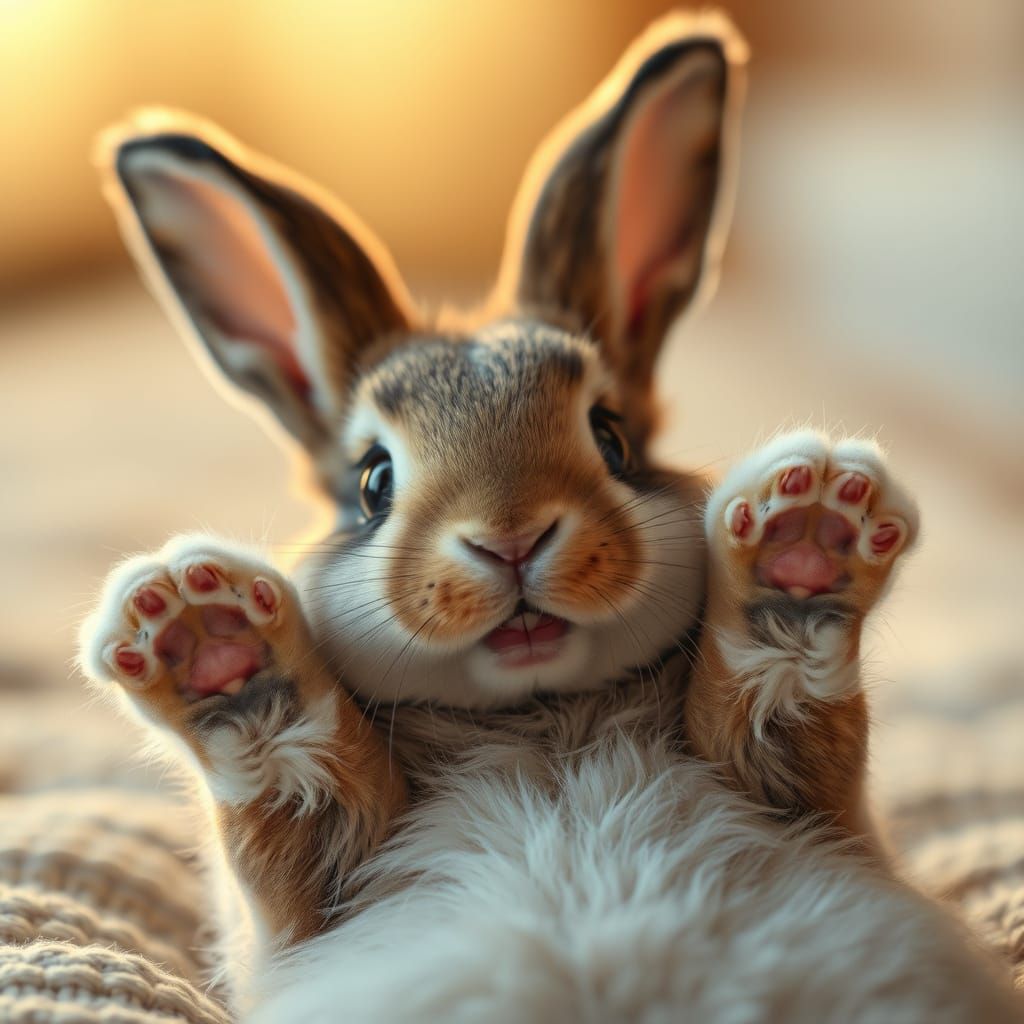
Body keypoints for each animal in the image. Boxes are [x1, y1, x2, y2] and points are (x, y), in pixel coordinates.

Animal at [78, 11, 1018, 1023]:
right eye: (373, 482)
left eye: (611, 436)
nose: (512, 540)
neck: (542, 716)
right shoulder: (317, 892)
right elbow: (286, 784)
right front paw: (204, 633)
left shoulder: (813, 807)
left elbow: (782, 700)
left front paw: (805, 532)